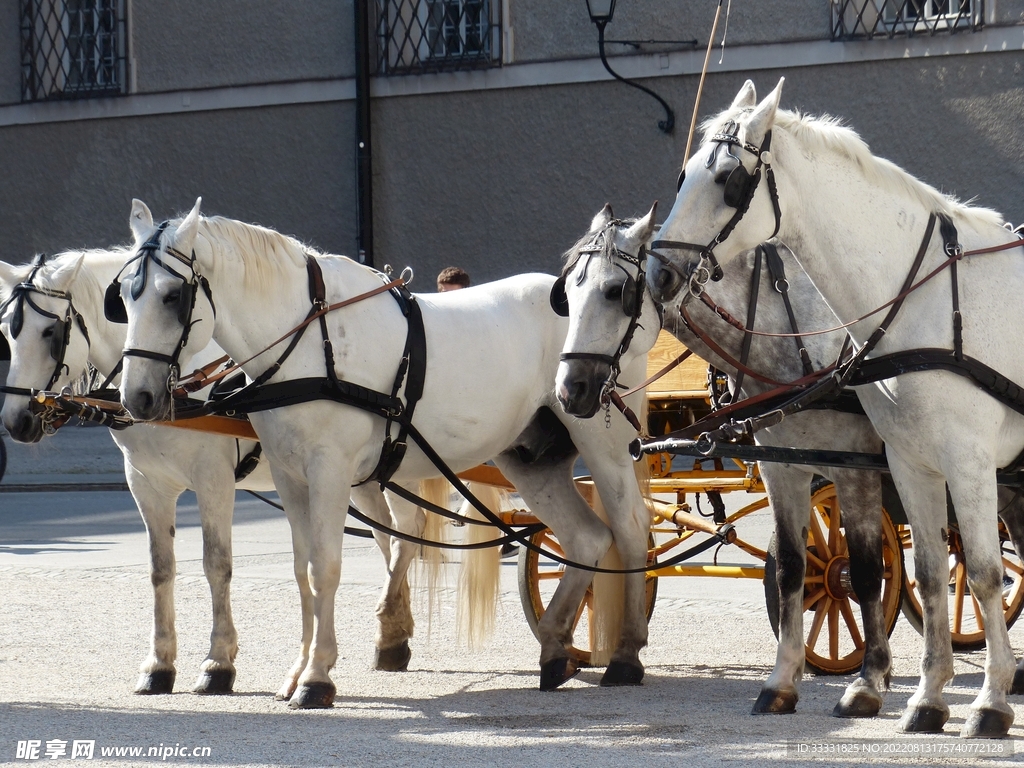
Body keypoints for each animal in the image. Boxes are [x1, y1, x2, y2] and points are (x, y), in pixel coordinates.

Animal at [114, 198, 653, 708]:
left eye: (173, 295)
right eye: (122, 297)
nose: (137, 397)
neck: (308, 339)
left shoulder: (327, 470)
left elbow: (324, 566)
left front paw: (316, 676)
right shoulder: (290, 475)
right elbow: (301, 569)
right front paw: (296, 671)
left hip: (599, 439)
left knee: (629, 529)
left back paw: (625, 655)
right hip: (529, 458)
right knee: (586, 538)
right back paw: (555, 647)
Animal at [646, 78, 1024, 738]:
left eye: (730, 180)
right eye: (684, 174)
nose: (658, 273)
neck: (920, 299)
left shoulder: (967, 463)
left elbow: (980, 572)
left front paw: (989, 703)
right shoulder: (909, 461)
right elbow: (930, 574)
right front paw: (928, 697)